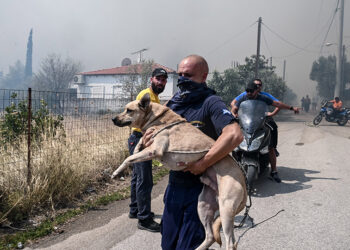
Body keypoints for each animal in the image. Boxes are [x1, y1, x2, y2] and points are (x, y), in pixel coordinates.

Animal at [111, 94, 246, 250]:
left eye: (129, 110)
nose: (113, 119)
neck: (156, 117)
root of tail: (244, 183)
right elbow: (137, 148)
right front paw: (137, 147)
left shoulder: (154, 150)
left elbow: (129, 158)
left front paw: (117, 172)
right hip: (203, 205)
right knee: (210, 235)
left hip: (225, 209)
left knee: (231, 242)